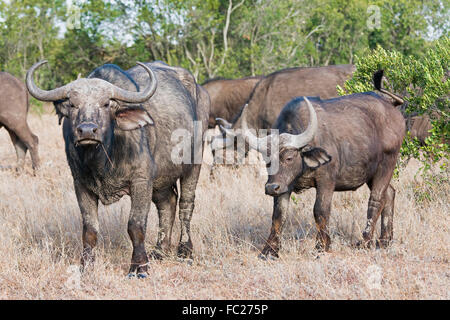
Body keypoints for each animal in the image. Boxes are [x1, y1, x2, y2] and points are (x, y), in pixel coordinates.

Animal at [27, 60, 210, 278]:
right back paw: (160, 250)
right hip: (161, 179)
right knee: (168, 204)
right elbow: (89, 230)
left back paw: (185, 251)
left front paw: (139, 267)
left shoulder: (141, 181)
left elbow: (135, 226)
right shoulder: (81, 184)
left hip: (193, 165)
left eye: (106, 104)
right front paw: (85, 266)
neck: (102, 160)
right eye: (72, 104)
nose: (87, 130)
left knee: (185, 205)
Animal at [232, 70, 404, 258]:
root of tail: (391, 107)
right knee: (390, 193)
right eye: (267, 160)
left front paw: (322, 245)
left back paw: (365, 241)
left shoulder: (326, 181)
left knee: (377, 199)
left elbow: (320, 210)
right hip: (370, 174)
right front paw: (270, 250)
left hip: (387, 164)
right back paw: (385, 240)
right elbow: (278, 214)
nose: (271, 188)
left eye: (289, 158)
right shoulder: (284, 185)